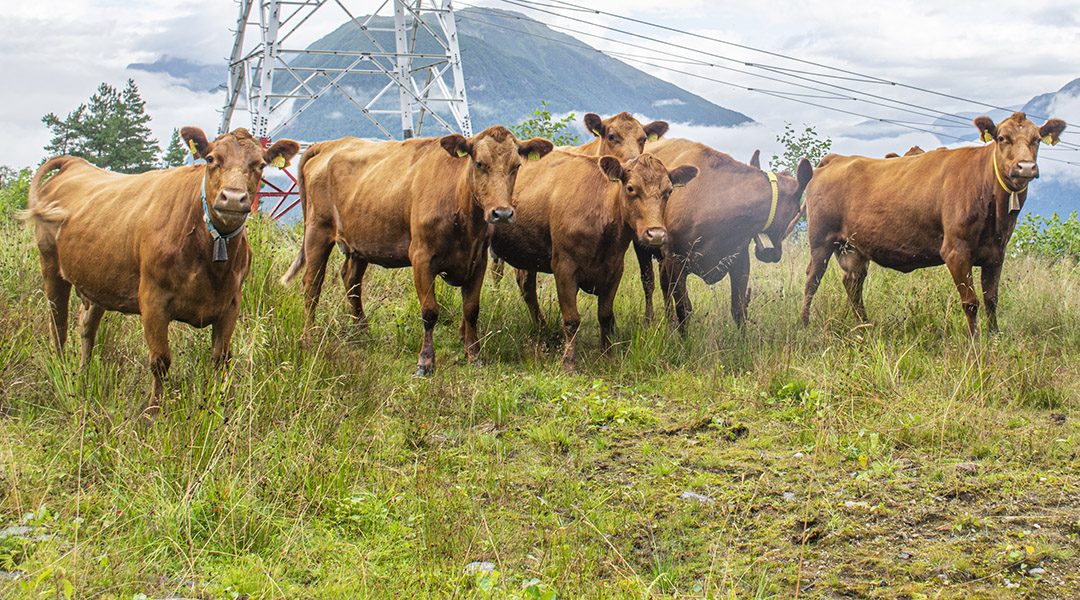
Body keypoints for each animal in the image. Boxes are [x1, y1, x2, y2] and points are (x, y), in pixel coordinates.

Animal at [23, 125, 300, 407]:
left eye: (260, 165)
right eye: (211, 158)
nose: (233, 198)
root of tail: (74, 162)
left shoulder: (231, 303)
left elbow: (220, 360)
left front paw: (216, 407)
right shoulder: (152, 300)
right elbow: (160, 362)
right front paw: (153, 411)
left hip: (96, 282)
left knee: (86, 327)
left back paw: (83, 376)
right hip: (51, 267)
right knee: (58, 326)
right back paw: (62, 374)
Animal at [282, 127, 552, 375]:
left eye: (517, 165)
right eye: (479, 163)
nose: (502, 213)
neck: (462, 212)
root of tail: (328, 144)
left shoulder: (478, 260)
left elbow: (471, 309)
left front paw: (474, 355)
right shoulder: (421, 257)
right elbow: (429, 311)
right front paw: (426, 362)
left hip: (360, 241)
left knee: (351, 280)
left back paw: (362, 330)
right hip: (317, 231)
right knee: (312, 286)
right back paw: (309, 337)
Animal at [492, 153, 699, 371]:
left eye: (669, 191)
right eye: (630, 188)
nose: (656, 234)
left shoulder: (615, 270)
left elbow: (605, 316)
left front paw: (607, 355)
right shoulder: (564, 268)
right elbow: (571, 320)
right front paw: (568, 363)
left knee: (527, 287)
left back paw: (541, 328)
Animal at [639, 138, 812, 330]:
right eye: (797, 211)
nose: (773, 254)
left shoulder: (740, 258)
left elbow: (739, 309)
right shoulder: (674, 258)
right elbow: (684, 308)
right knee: (649, 284)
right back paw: (649, 320)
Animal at [803, 112, 1062, 334]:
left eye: (1037, 139)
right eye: (1001, 138)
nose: (1025, 166)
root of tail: (836, 159)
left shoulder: (996, 252)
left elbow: (991, 299)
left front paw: (994, 337)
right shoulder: (956, 251)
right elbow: (971, 302)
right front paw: (975, 345)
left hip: (853, 248)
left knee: (853, 284)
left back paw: (866, 328)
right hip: (821, 241)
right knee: (812, 280)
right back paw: (804, 325)